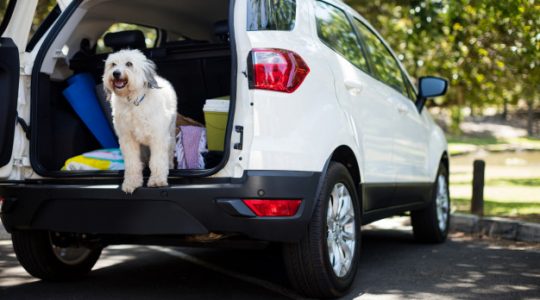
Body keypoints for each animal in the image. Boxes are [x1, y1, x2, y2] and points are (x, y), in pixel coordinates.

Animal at [102, 49, 176, 193]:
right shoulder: (127, 140)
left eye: (129, 64)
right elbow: (132, 164)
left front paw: (157, 180)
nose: (116, 73)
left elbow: (157, 161)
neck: (133, 103)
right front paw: (132, 182)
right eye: (113, 64)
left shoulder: (158, 137)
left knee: (169, 154)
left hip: (171, 135)